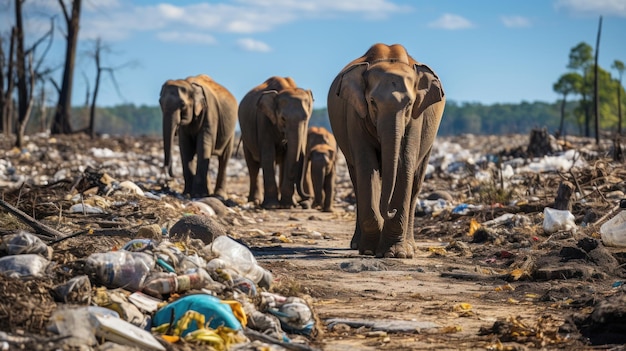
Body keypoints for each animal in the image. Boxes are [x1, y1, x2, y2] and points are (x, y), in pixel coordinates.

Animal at [236, 77, 312, 209]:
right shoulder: (263, 119)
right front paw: (271, 206)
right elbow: (268, 154)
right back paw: (254, 201)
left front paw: (288, 205)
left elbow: (289, 157)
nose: (308, 197)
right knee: (253, 166)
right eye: (283, 119)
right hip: (246, 138)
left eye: (306, 118)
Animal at [326, 43, 444, 258]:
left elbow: (405, 164)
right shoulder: (355, 113)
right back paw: (357, 244)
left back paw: (410, 247)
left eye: (409, 104)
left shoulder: (416, 118)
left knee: (416, 183)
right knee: (357, 180)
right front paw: (369, 250)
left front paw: (395, 254)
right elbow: (366, 165)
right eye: (372, 102)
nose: (390, 210)